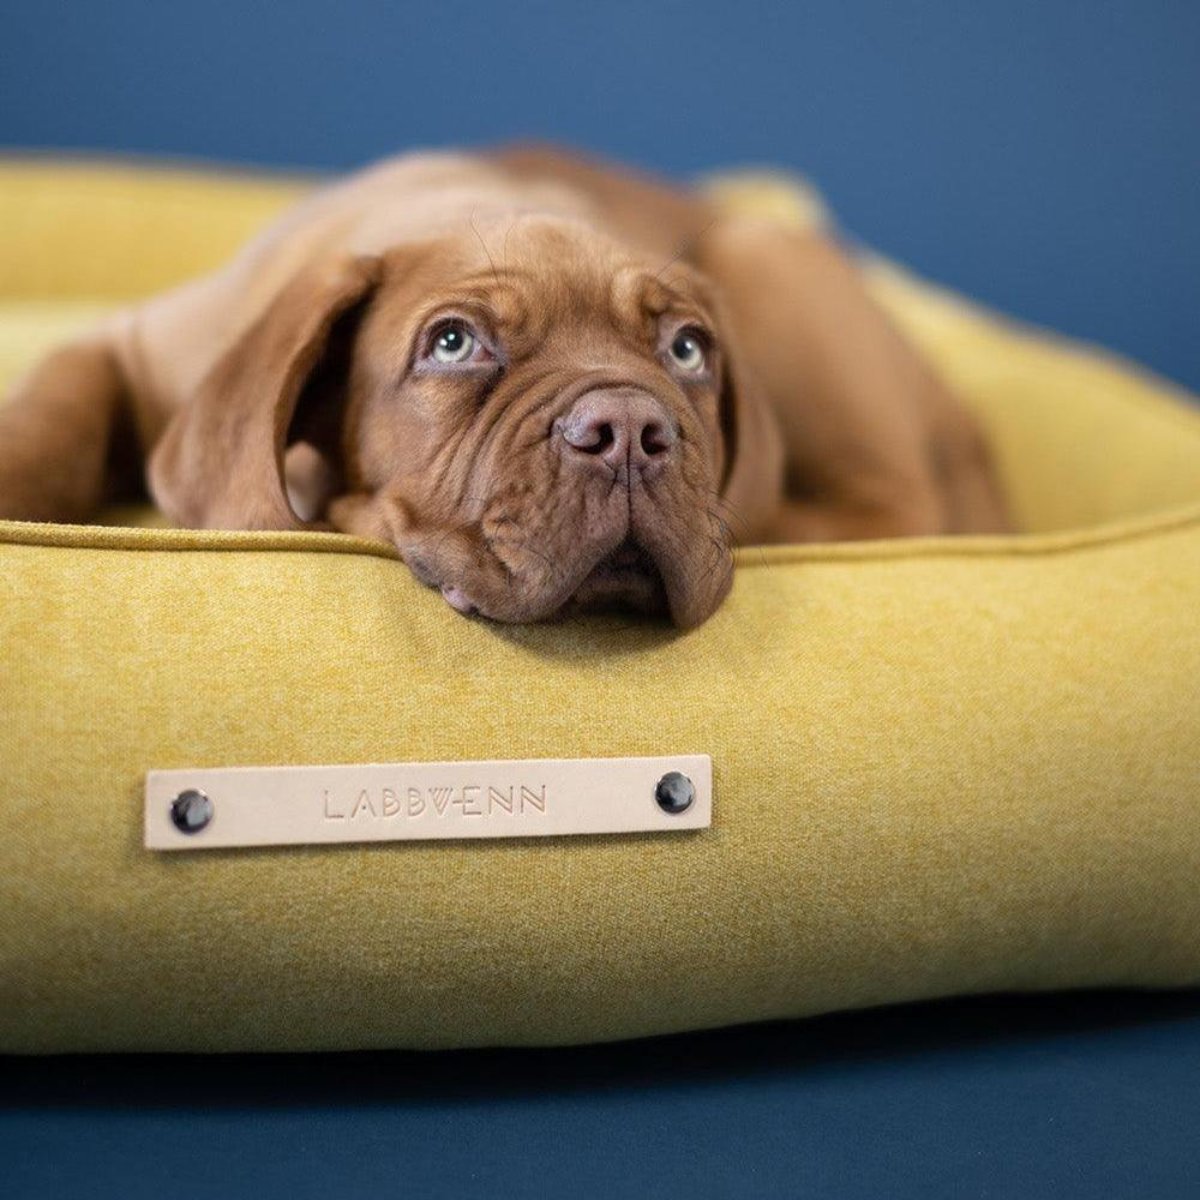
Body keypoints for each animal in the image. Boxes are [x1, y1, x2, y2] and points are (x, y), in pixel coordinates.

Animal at [0, 145, 1012, 624]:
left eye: (688, 350)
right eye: (453, 342)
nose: (631, 432)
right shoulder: (132, 344)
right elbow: (54, 418)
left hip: (764, 250)